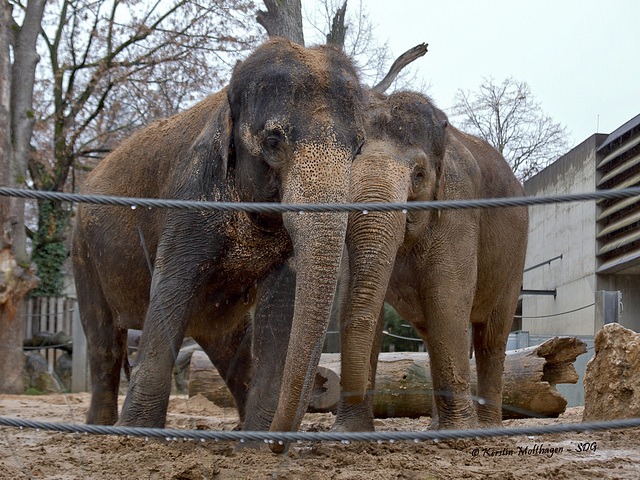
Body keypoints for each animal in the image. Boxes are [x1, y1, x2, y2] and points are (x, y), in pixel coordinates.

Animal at [70, 36, 364, 428]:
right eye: (273, 141)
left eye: (358, 148)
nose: (320, 386)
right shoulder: (192, 195)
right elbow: (171, 287)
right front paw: (135, 433)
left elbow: (282, 304)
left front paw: (259, 437)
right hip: (82, 249)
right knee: (104, 343)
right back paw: (100, 429)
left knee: (228, 347)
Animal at [330, 90, 528, 436]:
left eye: (419, 175)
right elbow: (350, 301)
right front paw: (348, 434)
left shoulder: (458, 206)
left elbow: (447, 299)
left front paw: (461, 434)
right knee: (430, 332)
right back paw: (436, 426)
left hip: (515, 260)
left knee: (490, 336)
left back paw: (486, 427)